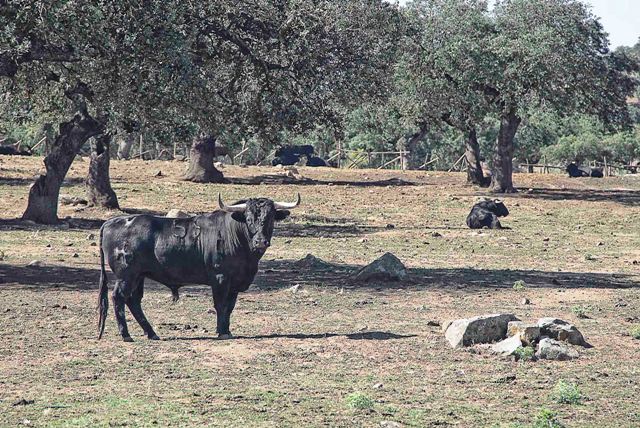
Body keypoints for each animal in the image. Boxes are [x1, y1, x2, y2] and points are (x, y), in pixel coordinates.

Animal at [98, 194, 302, 342]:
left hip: (139, 276)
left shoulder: (234, 283)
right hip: (126, 276)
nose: (260, 241)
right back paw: (126, 335)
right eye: (249, 219)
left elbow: (230, 307)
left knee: (133, 301)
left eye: (270, 218)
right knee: (119, 298)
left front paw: (227, 329)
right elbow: (221, 305)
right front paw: (222, 332)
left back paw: (152, 333)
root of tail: (111, 222)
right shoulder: (220, 278)